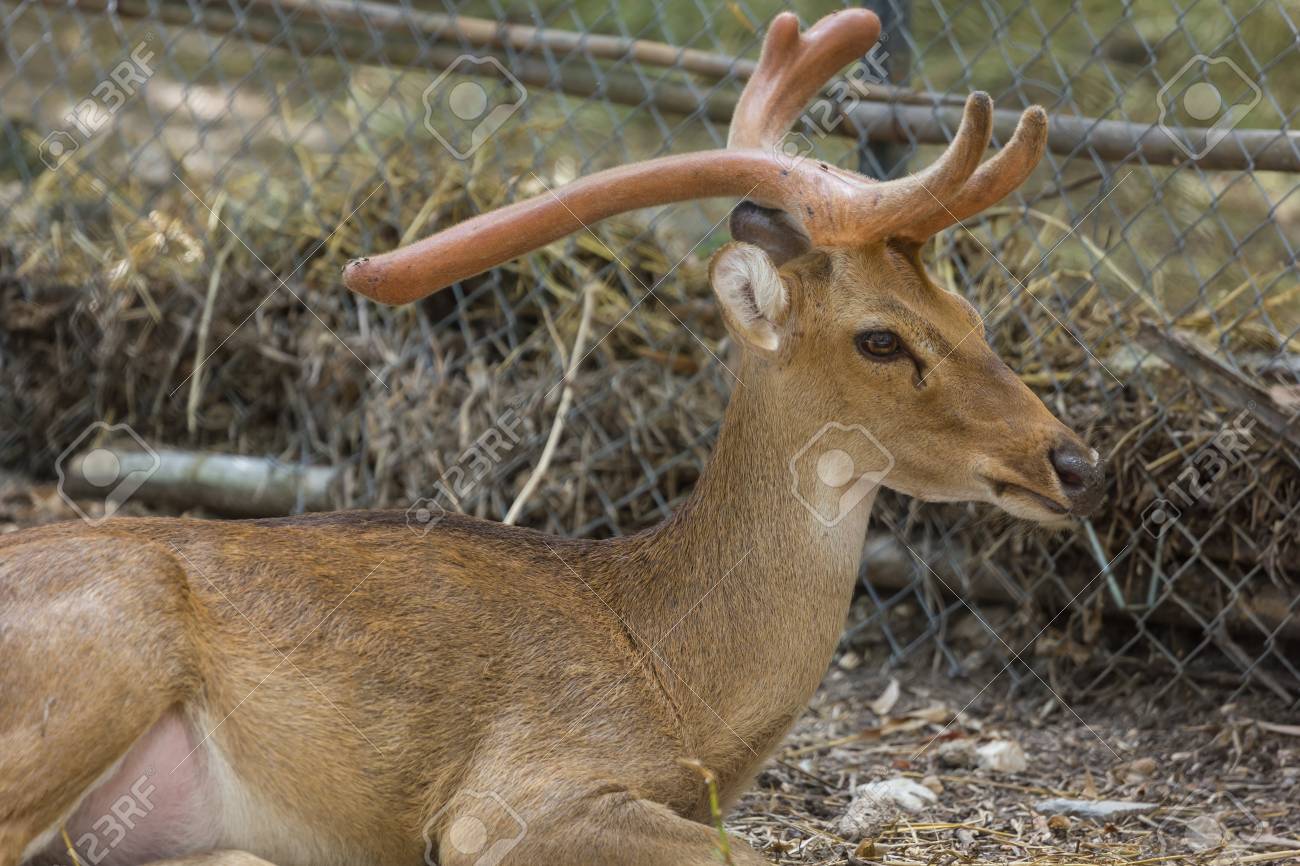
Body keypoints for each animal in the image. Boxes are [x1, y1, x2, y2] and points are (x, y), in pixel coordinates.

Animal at [1, 9, 1104, 866]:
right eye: (881, 337)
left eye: (968, 309)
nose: (1075, 459)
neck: (675, 681)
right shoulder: (513, 795)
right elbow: (745, 849)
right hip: (106, 651)